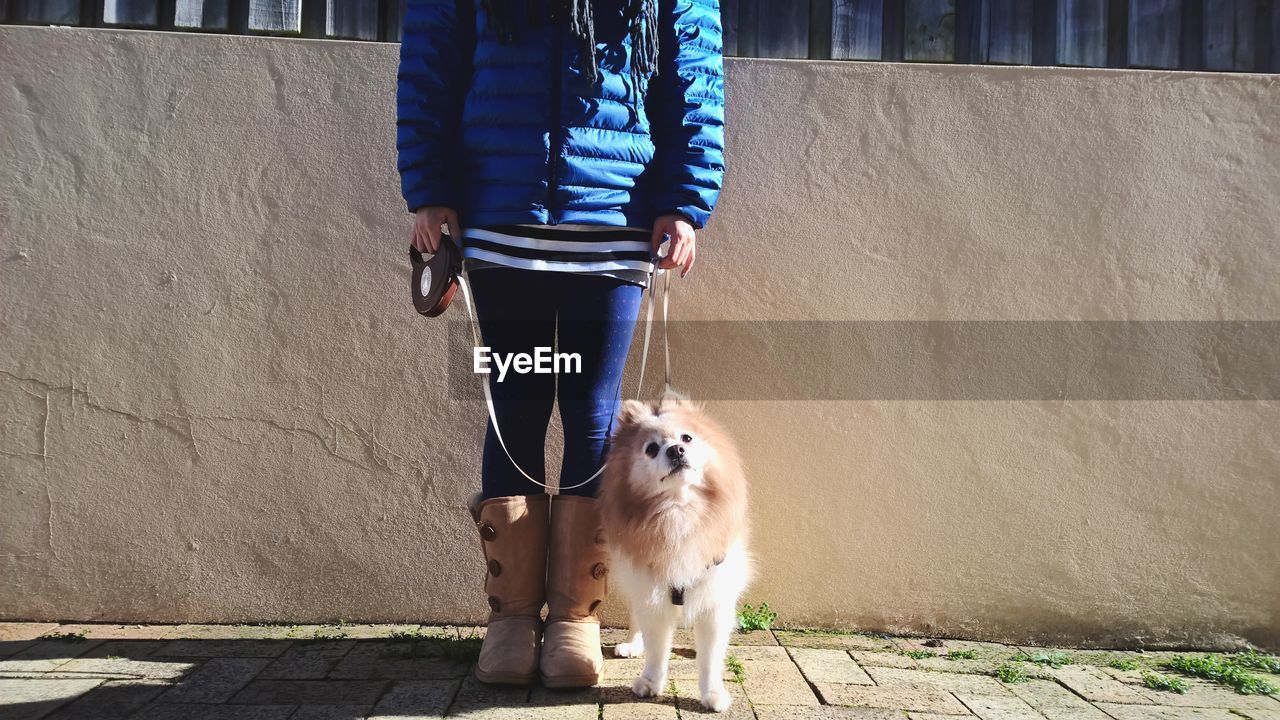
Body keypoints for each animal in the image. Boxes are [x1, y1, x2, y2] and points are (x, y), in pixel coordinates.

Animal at [599, 389, 747, 707]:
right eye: (652, 449)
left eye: (687, 438)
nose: (676, 450)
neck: (679, 511)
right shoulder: (651, 592)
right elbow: (656, 648)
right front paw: (650, 682)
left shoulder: (714, 598)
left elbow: (710, 657)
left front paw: (712, 693)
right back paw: (632, 644)